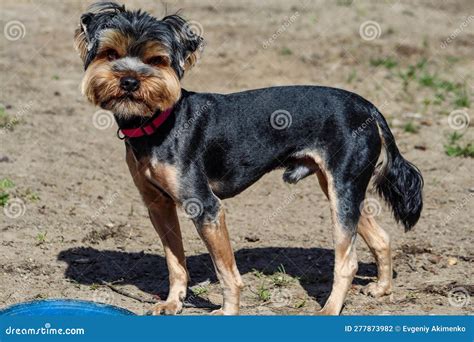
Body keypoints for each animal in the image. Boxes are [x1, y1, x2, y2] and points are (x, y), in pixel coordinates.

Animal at [76, 1, 424, 316]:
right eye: (110, 54)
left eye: (156, 60)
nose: (129, 81)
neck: (159, 122)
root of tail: (369, 108)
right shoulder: (159, 205)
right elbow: (176, 262)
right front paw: (173, 303)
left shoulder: (206, 208)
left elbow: (226, 273)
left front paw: (227, 312)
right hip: (339, 186)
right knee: (380, 237)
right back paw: (381, 288)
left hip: (342, 189)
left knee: (347, 261)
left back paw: (328, 310)